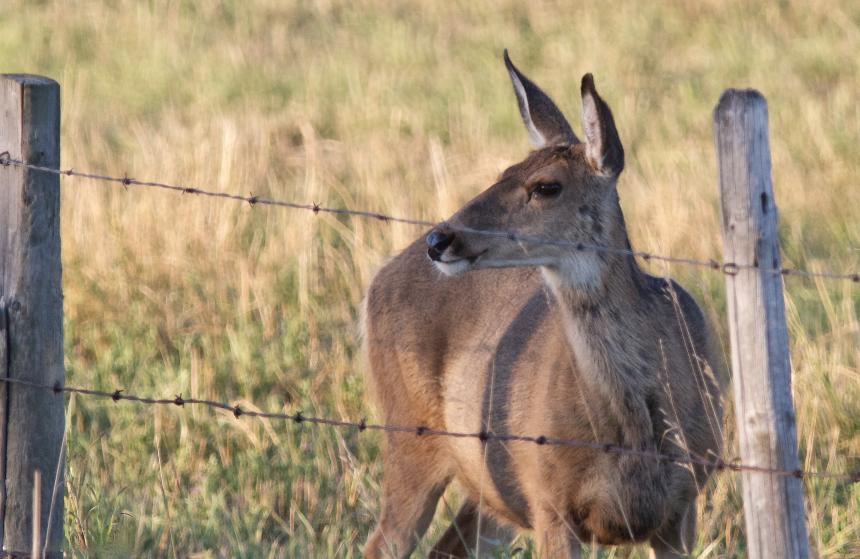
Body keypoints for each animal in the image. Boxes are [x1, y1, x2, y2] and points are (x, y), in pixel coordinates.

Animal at [364, 50, 724, 556]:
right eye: (503, 174)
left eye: (546, 186)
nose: (440, 239)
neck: (633, 426)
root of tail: (380, 276)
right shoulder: (550, 500)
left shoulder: (681, 506)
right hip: (410, 437)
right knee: (383, 541)